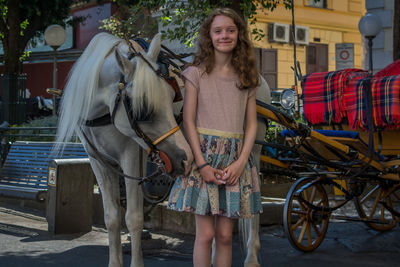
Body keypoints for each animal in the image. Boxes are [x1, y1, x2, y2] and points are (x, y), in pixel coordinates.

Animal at [55, 31, 192, 267]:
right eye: (143, 108)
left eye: (171, 95)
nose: (184, 158)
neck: (102, 113)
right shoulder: (98, 161)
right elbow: (112, 217)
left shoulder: (132, 156)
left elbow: (134, 217)